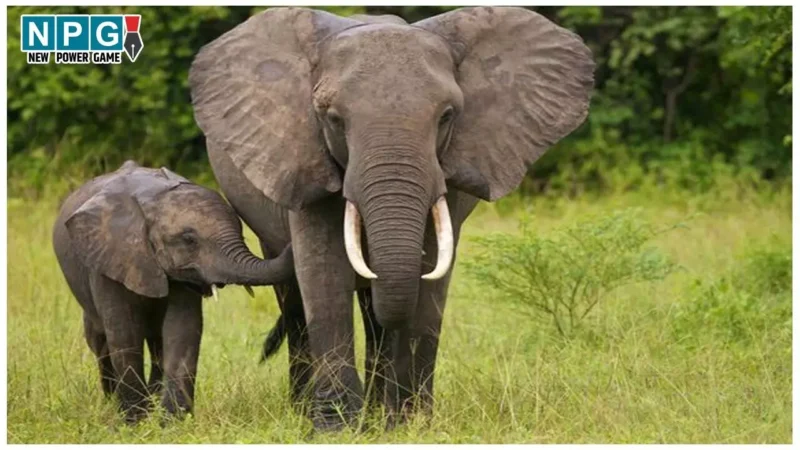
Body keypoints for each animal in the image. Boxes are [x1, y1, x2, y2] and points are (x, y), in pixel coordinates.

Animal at [52, 160, 295, 423]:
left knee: (157, 343)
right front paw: (134, 423)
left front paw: (172, 422)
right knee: (100, 341)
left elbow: (182, 329)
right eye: (189, 240)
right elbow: (124, 333)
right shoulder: (109, 259)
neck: (153, 200)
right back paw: (113, 401)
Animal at [188, 6, 594, 430]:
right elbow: (323, 271)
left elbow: (430, 277)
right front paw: (335, 428)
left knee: (372, 311)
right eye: (333, 119)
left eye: (447, 116)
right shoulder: (304, 154)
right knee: (297, 300)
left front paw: (411, 424)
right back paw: (308, 410)